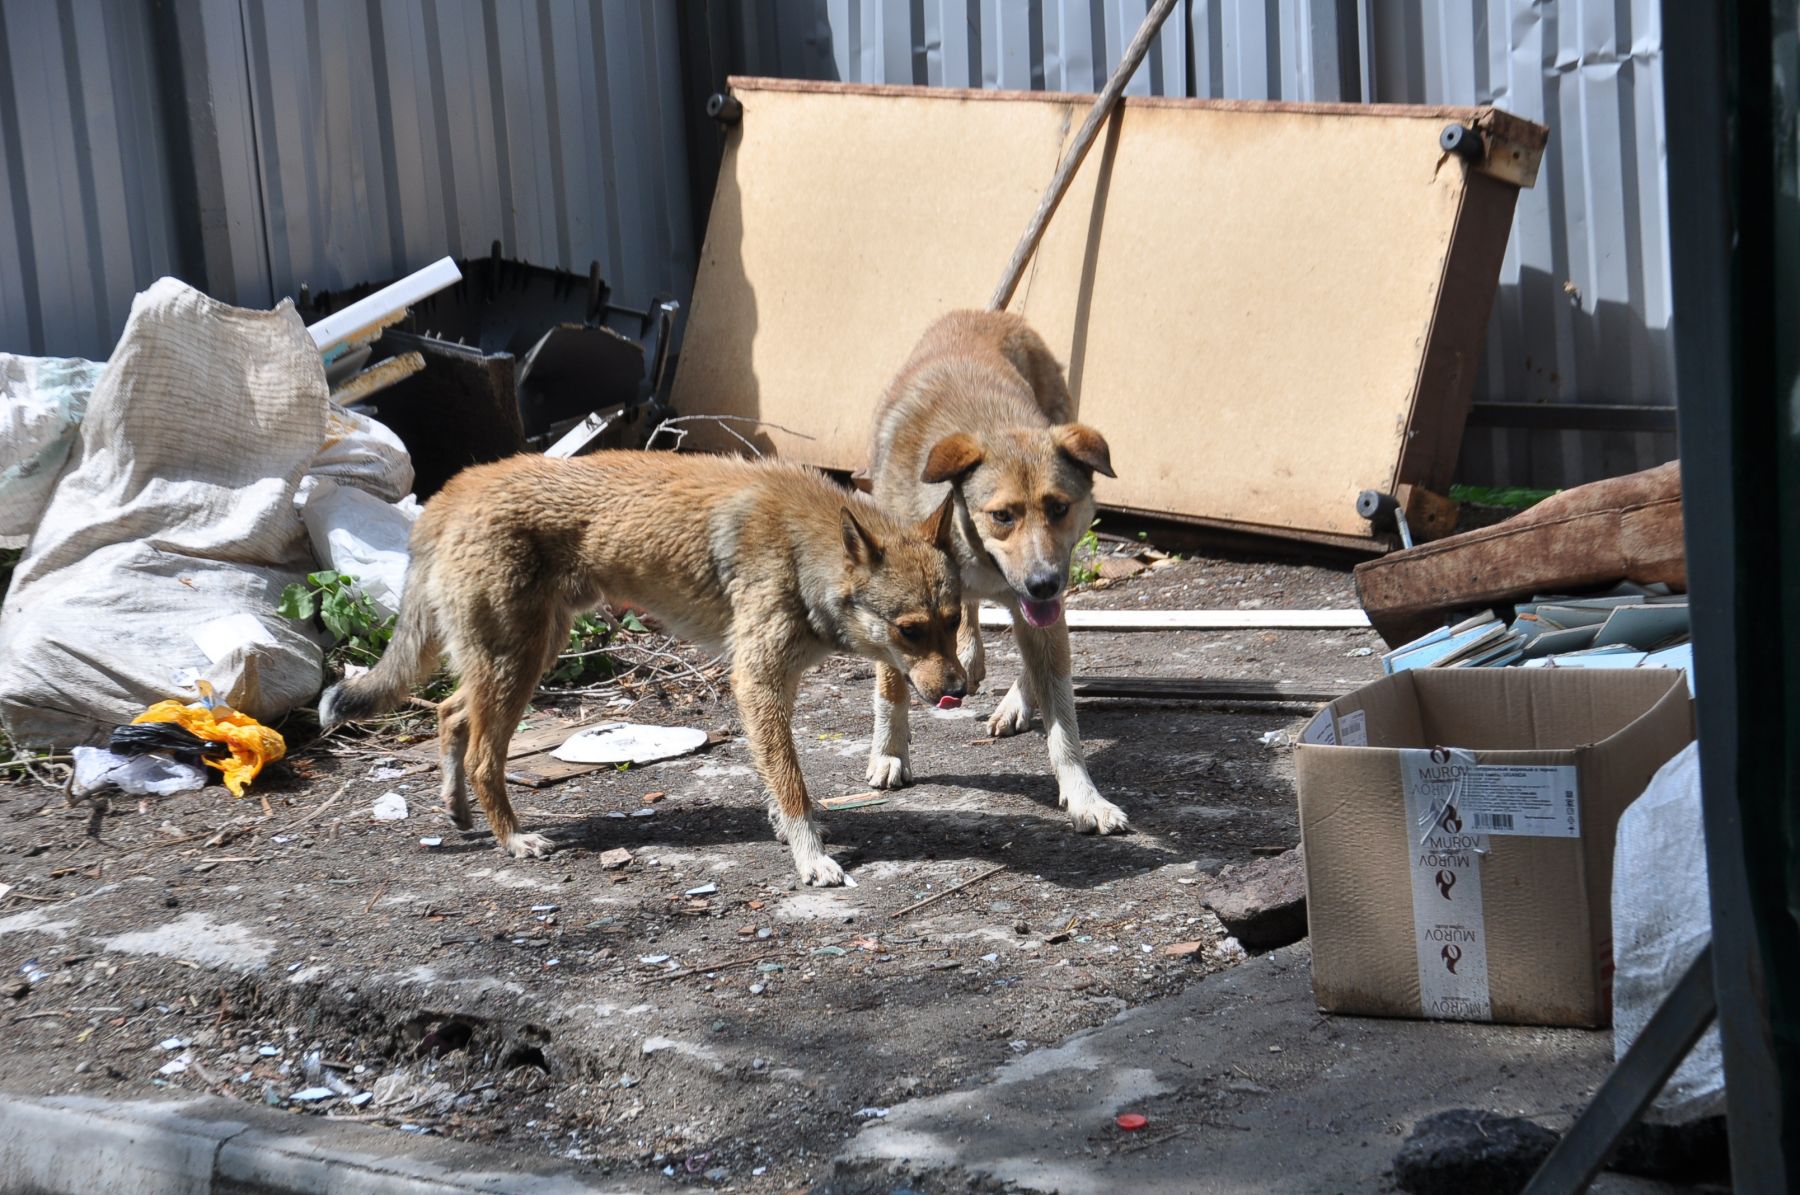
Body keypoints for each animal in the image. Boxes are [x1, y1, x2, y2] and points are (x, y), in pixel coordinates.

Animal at [324, 453, 972, 881]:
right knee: (484, 756)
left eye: (954, 618)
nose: (960, 692)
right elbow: (789, 783)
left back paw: (458, 810)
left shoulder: (776, 687)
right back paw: (514, 840)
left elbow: (783, 782)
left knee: (449, 714)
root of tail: (454, 489)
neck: (800, 548)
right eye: (910, 630)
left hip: (519, 657)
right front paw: (811, 858)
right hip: (518, 664)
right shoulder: (758, 683)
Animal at [856, 307, 1123, 831]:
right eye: (1002, 515)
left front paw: (1085, 797)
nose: (1043, 584)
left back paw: (1014, 698)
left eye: (1058, 508)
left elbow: (1064, 725)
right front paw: (890, 753)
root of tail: (989, 313)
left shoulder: (1041, 614)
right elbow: (891, 685)